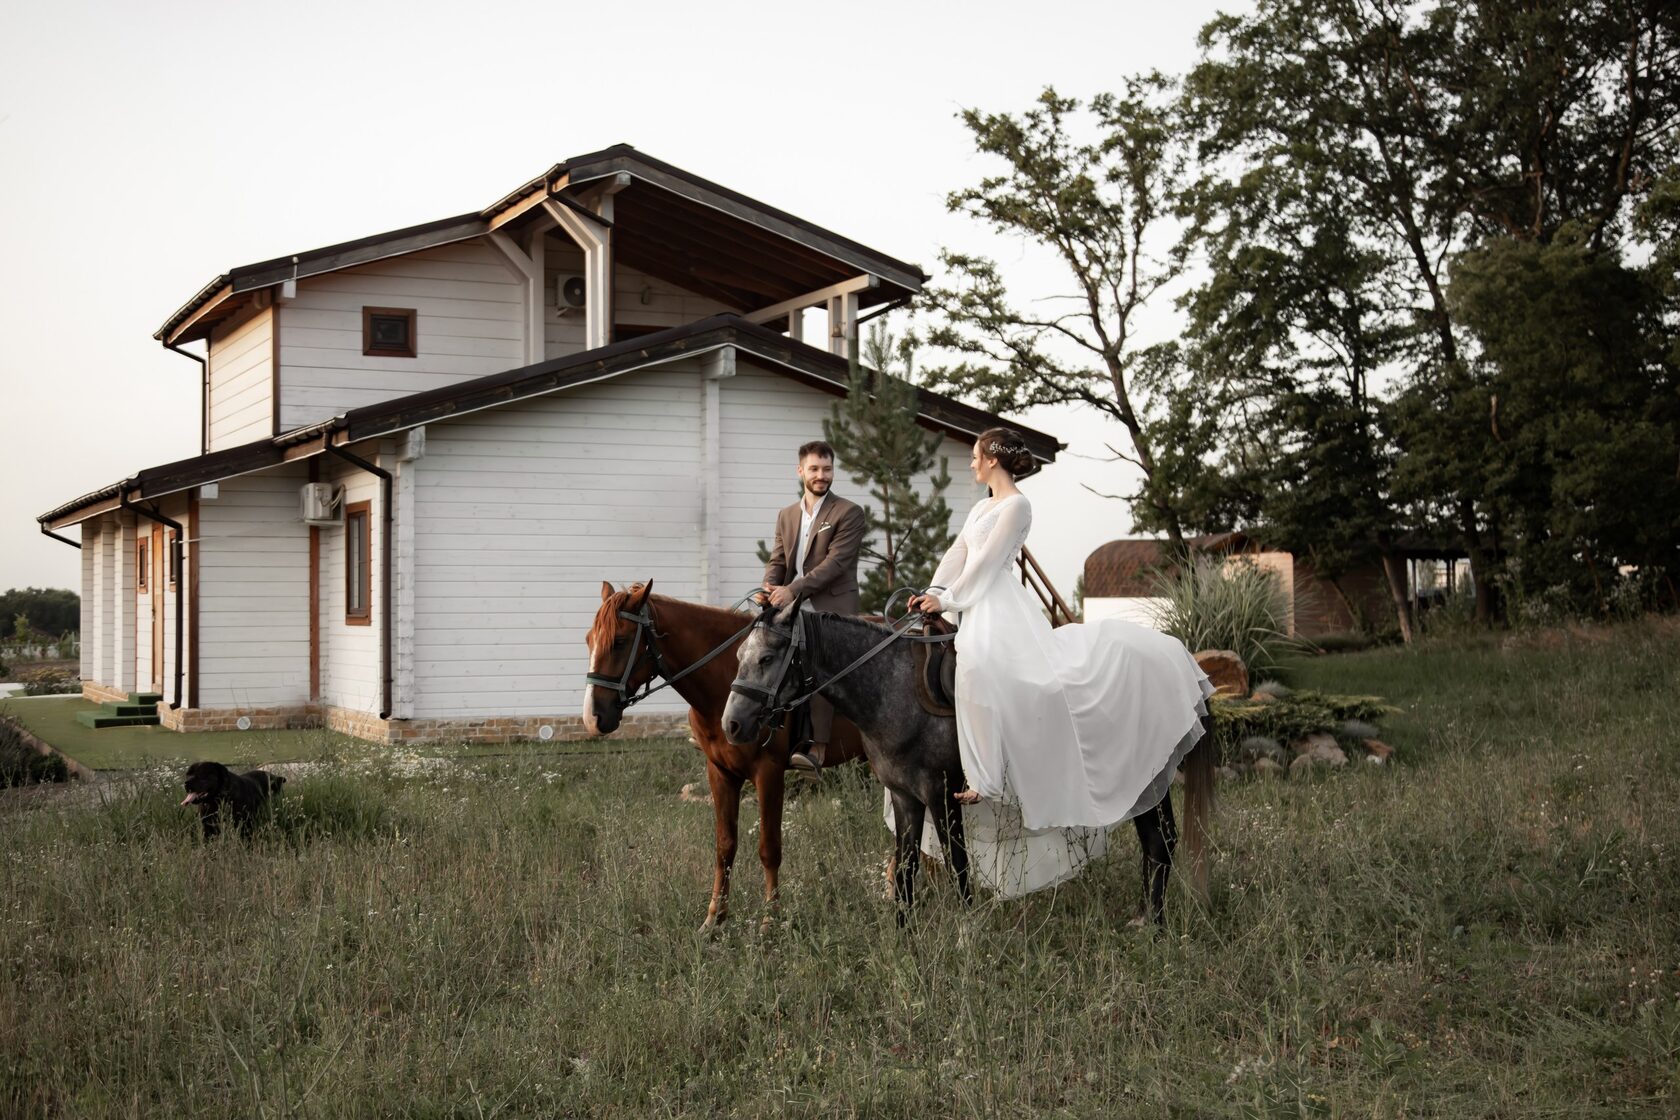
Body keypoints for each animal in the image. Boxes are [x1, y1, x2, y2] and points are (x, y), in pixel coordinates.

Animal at [581, 584, 866, 933]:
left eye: (620, 641)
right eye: (589, 639)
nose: (592, 718)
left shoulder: (768, 772)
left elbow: (769, 847)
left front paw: (770, 921)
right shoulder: (719, 772)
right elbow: (724, 847)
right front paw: (714, 920)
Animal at [715, 604, 1216, 926]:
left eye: (766, 657)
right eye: (737, 657)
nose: (732, 725)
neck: (892, 689)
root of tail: (1176, 655)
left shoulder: (942, 792)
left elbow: (957, 865)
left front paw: (966, 934)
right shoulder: (905, 796)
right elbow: (906, 869)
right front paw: (905, 938)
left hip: (1145, 777)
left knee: (1160, 841)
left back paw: (1154, 927)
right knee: (1157, 842)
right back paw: (1146, 919)